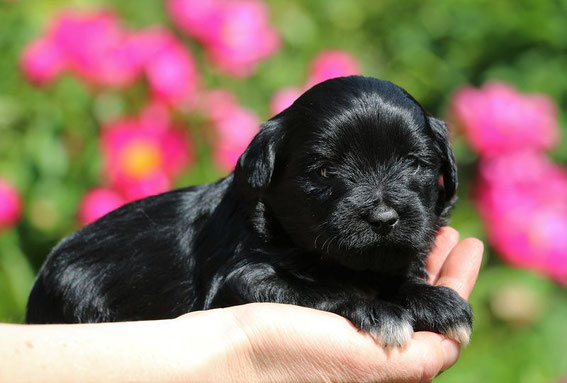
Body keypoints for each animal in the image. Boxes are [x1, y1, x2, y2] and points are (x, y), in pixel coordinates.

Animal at [26, 75, 472, 348]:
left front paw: (433, 300)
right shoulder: (240, 279)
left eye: (414, 163)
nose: (383, 219)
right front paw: (375, 309)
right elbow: (313, 290)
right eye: (326, 171)